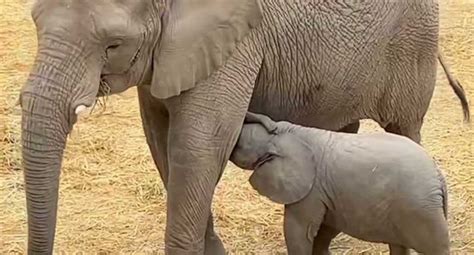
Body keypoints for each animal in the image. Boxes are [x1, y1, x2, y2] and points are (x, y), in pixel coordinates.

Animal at [231, 112, 450, 255]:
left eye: (238, 143)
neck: (291, 132)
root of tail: (438, 177)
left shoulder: (311, 189)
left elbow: (299, 230)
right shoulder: (330, 193)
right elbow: (328, 226)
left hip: (421, 210)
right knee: (398, 245)